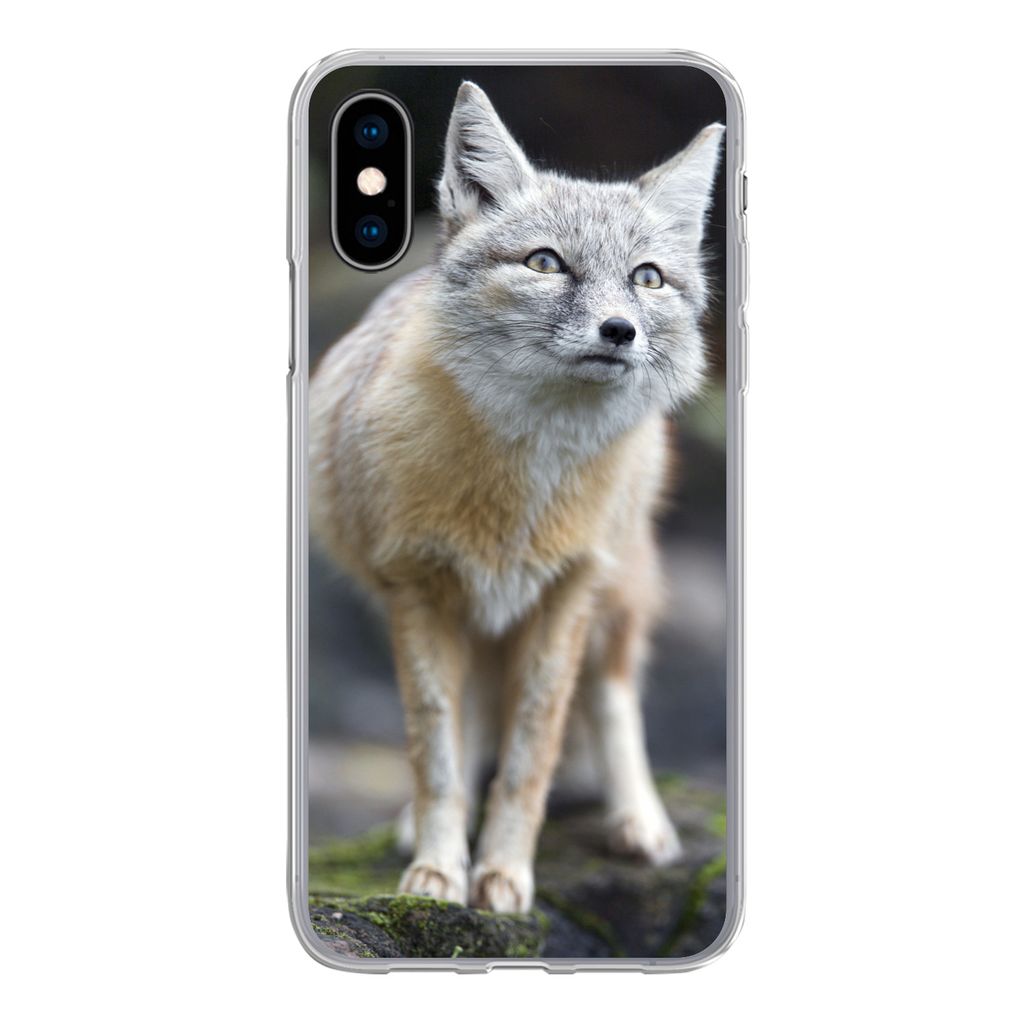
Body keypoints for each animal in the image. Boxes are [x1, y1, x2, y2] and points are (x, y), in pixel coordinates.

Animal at [309, 82, 724, 913]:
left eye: (648, 278)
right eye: (546, 263)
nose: (620, 330)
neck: (520, 494)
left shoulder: (565, 595)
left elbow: (533, 754)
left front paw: (504, 874)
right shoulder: (418, 591)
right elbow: (436, 752)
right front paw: (438, 873)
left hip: (615, 593)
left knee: (614, 694)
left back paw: (639, 820)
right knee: (471, 720)